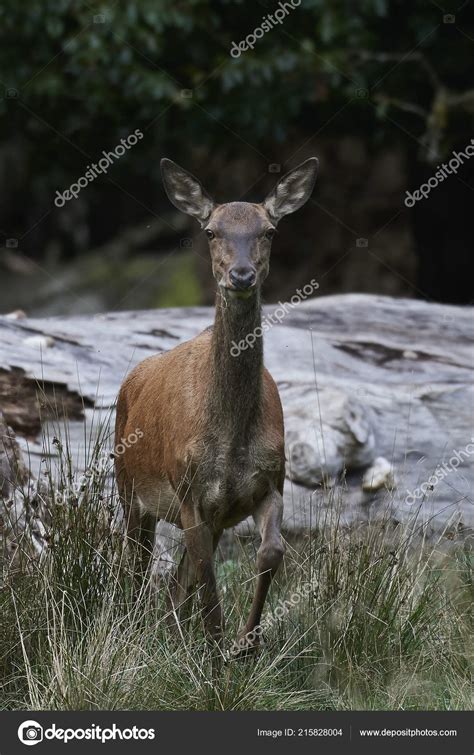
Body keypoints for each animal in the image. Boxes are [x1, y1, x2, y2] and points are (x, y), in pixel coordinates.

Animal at [115, 157, 318, 652]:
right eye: (210, 231)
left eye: (269, 230)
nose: (241, 275)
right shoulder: (188, 491)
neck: (231, 438)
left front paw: (246, 643)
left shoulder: (269, 482)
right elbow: (207, 580)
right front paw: (214, 653)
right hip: (129, 487)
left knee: (174, 581)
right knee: (138, 565)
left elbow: (269, 552)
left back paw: (173, 632)